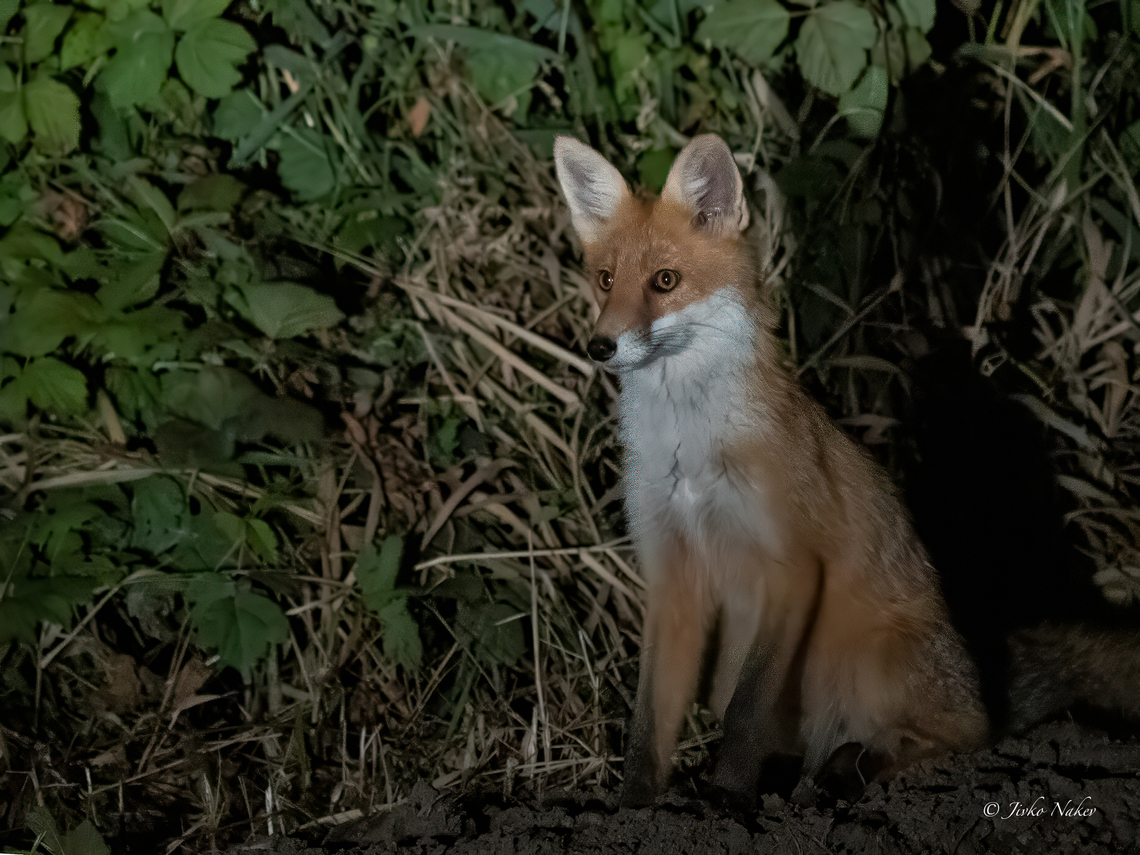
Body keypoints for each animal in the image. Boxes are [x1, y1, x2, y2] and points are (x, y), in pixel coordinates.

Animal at [553, 133, 1140, 807]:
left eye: (665, 281)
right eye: (605, 280)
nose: (600, 346)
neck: (692, 453)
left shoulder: (793, 566)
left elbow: (746, 715)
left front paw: (729, 799)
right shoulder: (672, 574)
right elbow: (648, 727)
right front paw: (637, 807)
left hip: (865, 655)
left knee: (960, 734)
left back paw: (850, 771)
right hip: (741, 661)